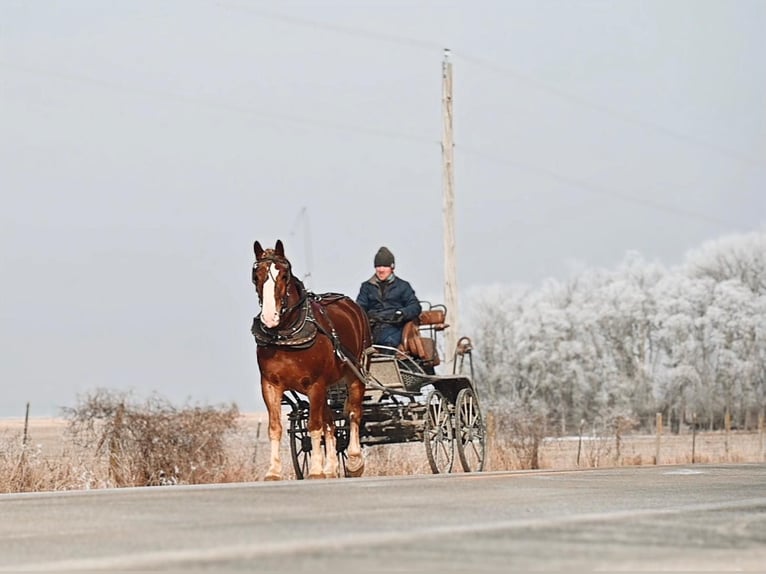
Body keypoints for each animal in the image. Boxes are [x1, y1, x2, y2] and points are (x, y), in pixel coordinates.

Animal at [252, 238, 372, 482]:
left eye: (284, 275)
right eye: (256, 276)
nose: (269, 317)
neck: (286, 335)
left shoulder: (315, 384)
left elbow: (314, 425)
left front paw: (316, 469)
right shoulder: (269, 385)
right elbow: (275, 427)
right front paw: (273, 471)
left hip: (355, 374)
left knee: (353, 414)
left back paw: (354, 462)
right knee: (331, 423)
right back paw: (332, 467)